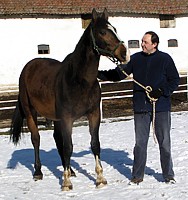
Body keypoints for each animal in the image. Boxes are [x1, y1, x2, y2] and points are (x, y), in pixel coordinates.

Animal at [9, 8, 129, 191]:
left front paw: (100, 178)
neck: (79, 80)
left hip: (55, 117)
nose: (124, 53)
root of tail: (28, 67)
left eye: (114, 29)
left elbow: (94, 144)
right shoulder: (67, 118)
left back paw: (70, 170)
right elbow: (68, 147)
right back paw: (38, 172)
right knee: (36, 139)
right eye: (102, 32)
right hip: (31, 112)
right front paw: (66, 183)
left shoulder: (94, 114)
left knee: (57, 139)